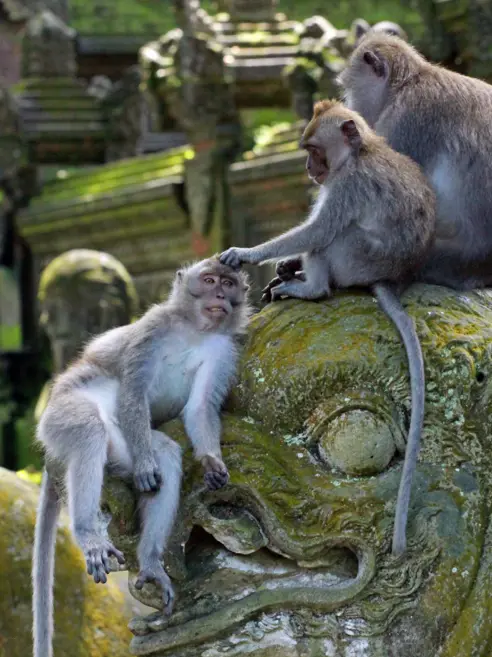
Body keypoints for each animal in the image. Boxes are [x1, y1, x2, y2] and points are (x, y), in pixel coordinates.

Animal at [32, 257, 250, 657]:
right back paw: (88, 533)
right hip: (61, 414)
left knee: (164, 453)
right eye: (209, 279)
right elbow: (134, 391)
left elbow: (199, 408)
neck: (194, 330)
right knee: (89, 430)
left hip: (123, 445)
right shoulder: (152, 329)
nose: (219, 296)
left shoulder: (225, 350)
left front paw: (211, 462)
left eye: (228, 283)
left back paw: (149, 562)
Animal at [220, 100, 437, 557]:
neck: (359, 153)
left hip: (356, 257)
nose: (308, 168)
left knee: (332, 236)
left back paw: (311, 287)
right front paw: (284, 263)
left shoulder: (346, 186)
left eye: (315, 150)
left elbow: (318, 230)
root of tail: (391, 278)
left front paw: (247, 254)